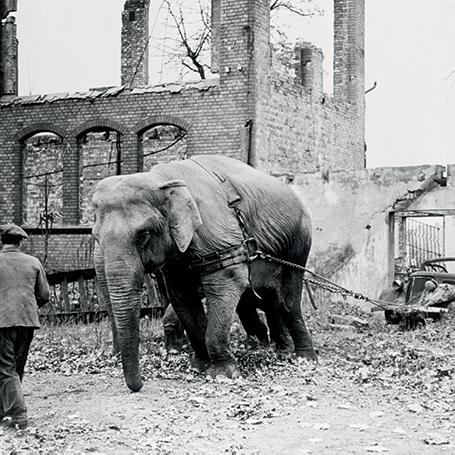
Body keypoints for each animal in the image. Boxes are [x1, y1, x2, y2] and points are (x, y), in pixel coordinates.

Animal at [92, 155, 318, 390]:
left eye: (143, 235)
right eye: (95, 236)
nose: (138, 387)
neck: (162, 178)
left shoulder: (220, 238)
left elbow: (224, 284)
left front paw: (222, 375)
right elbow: (183, 297)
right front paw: (199, 367)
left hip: (299, 243)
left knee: (288, 301)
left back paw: (303, 359)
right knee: (266, 300)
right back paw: (268, 349)